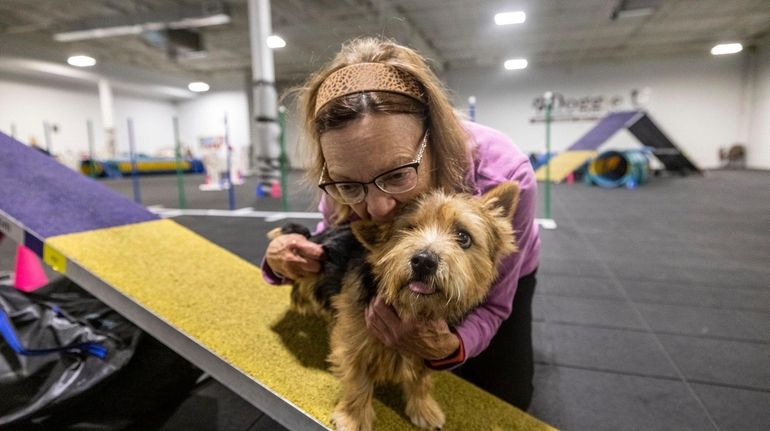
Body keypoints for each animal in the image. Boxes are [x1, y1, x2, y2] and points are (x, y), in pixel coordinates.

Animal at [268, 183, 516, 431]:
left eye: (463, 237)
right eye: (407, 230)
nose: (424, 261)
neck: (413, 308)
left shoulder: (429, 344)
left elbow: (421, 380)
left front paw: (423, 408)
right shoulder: (354, 338)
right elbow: (357, 378)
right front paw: (353, 417)